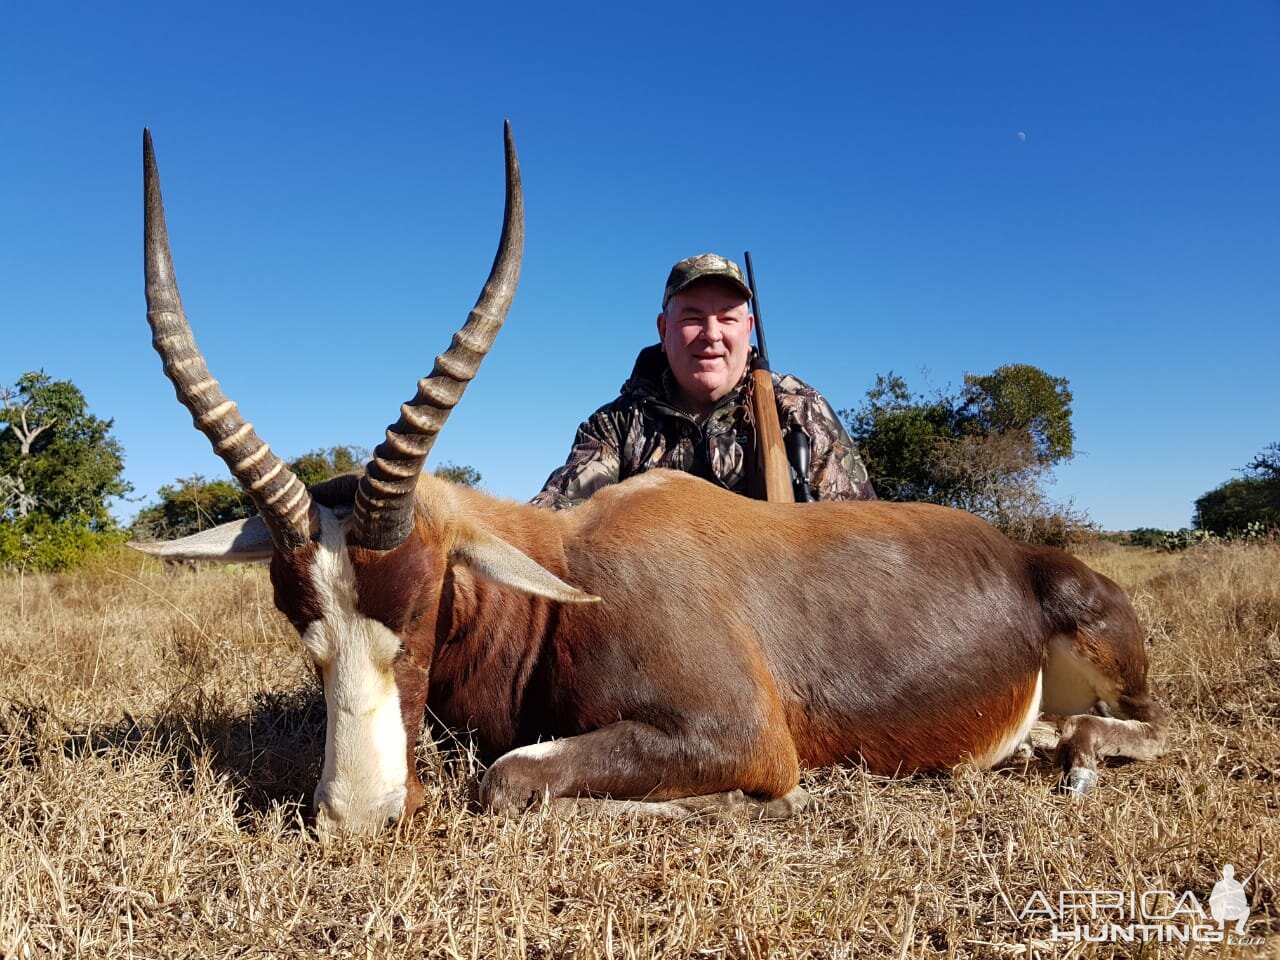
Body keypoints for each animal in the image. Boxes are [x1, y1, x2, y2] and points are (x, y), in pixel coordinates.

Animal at [135, 126, 1167, 834]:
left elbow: (505, 777)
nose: (359, 816)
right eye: (298, 620)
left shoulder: (743, 736)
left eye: (423, 602)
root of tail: (1021, 556)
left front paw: (730, 806)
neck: (568, 580)